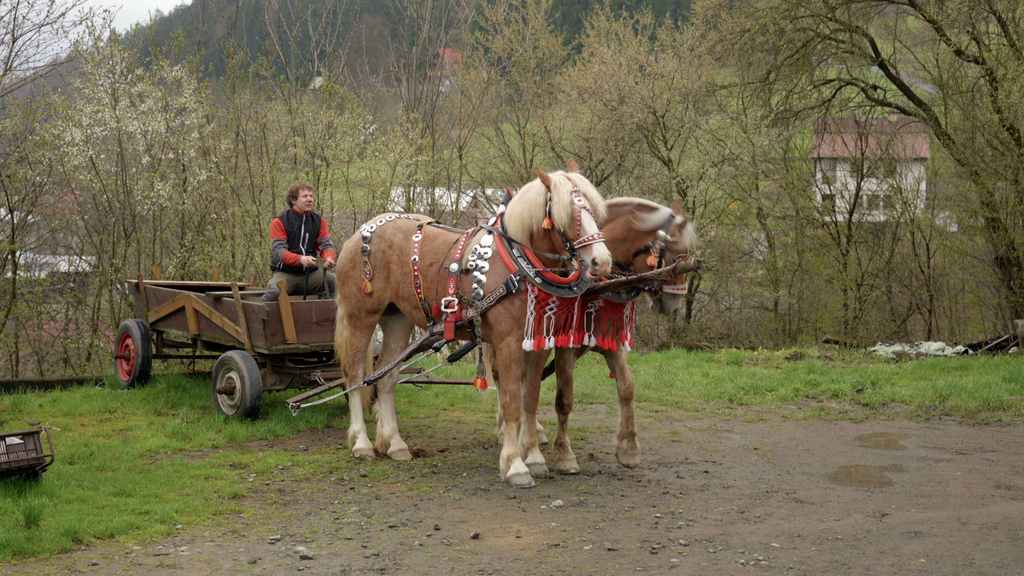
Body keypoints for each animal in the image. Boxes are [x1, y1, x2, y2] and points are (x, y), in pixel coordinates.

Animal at [333, 163, 606, 485]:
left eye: (595, 210)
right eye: (569, 213)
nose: (602, 261)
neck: (519, 265)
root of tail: (358, 234)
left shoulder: (537, 344)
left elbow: (530, 400)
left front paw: (535, 457)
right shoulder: (508, 343)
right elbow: (511, 402)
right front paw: (515, 464)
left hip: (397, 319)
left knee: (386, 377)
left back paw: (395, 444)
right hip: (361, 317)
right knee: (355, 376)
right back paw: (362, 443)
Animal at [487, 194, 696, 473]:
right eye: (675, 256)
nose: (674, 305)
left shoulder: (613, 342)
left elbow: (627, 388)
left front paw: (629, 447)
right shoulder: (566, 347)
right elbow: (564, 399)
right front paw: (564, 454)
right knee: (502, 377)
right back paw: (505, 429)